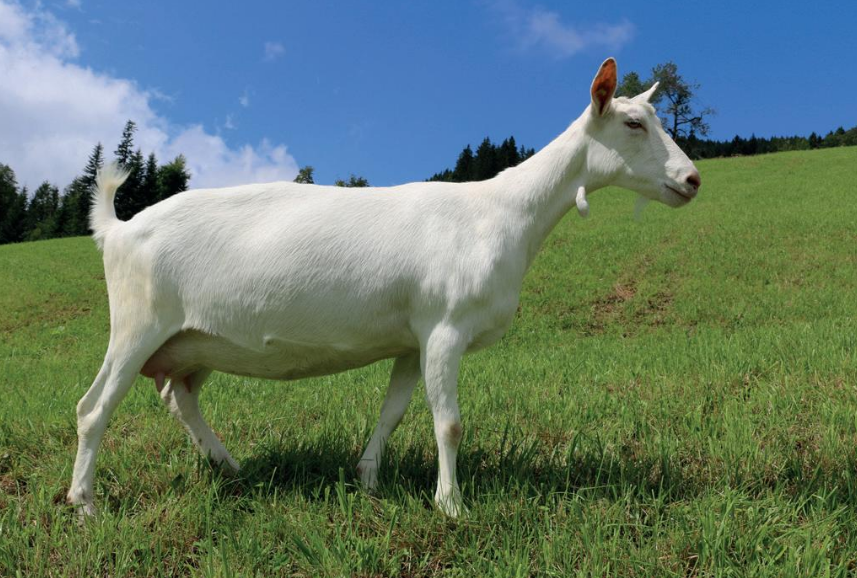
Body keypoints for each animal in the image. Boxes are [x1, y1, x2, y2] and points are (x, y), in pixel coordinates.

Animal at [68, 58, 701, 518]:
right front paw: (451, 506)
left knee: (179, 395)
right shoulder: (445, 327)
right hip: (138, 323)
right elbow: (449, 421)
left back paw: (229, 466)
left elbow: (393, 412)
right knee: (93, 408)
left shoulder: (410, 339)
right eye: (634, 123)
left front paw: (369, 479)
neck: (501, 213)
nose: (692, 179)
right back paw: (86, 505)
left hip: (192, 340)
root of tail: (117, 229)